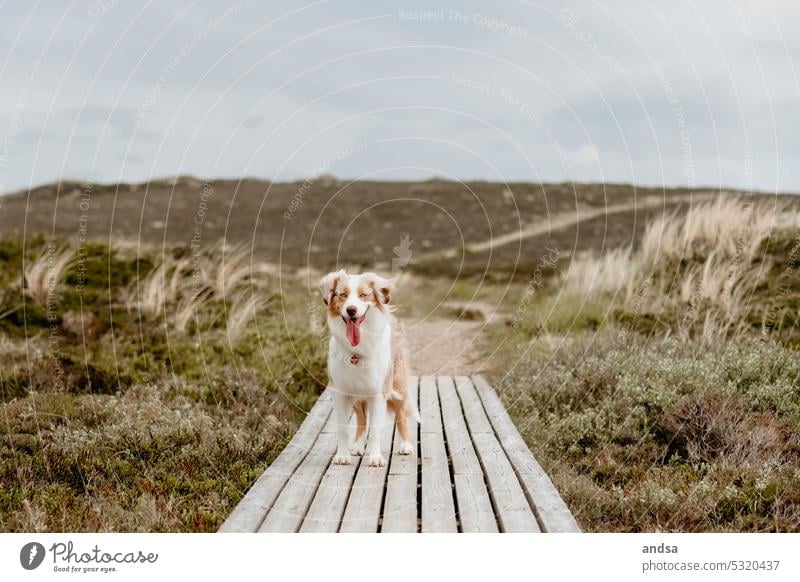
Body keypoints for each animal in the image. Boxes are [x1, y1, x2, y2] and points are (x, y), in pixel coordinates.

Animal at [318, 270, 422, 470]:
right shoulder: (341, 392)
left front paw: (375, 457)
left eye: (363, 295)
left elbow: (375, 429)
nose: (351, 310)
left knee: (401, 414)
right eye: (342, 295)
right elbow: (343, 429)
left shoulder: (378, 393)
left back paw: (405, 445)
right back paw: (358, 446)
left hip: (398, 384)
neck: (356, 351)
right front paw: (342, 455)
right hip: (358, 392)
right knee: (361, 419)